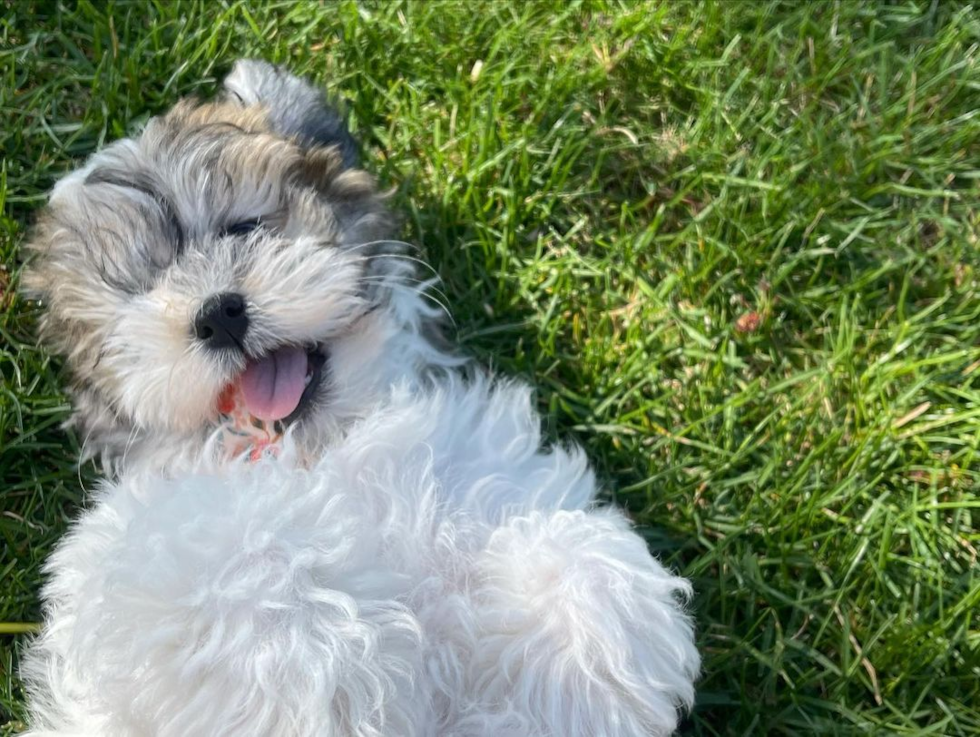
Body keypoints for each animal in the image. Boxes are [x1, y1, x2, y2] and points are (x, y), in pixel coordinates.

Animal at [21, 60, 696, 732]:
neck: (327, 446)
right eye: (140, 293)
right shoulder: (150, 551)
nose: (217, 315)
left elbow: (581, 565)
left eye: (244, 227)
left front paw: (571, 652)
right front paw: (329, 662)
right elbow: (247, 561)